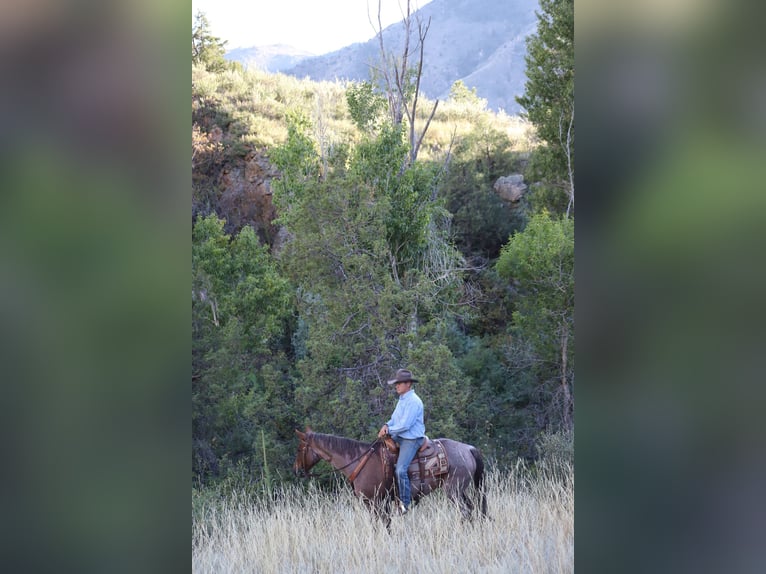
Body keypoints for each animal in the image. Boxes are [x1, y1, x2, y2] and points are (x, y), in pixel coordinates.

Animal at [292, 430, 486, 528]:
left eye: (299, 448)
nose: (296, 470)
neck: (359, 461)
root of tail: (468, 449)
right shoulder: (381, 502)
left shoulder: (373, 501)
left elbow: (380, 524)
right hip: (461, 491)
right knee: (472, 509)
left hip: (453, 491)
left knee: (465, 512)